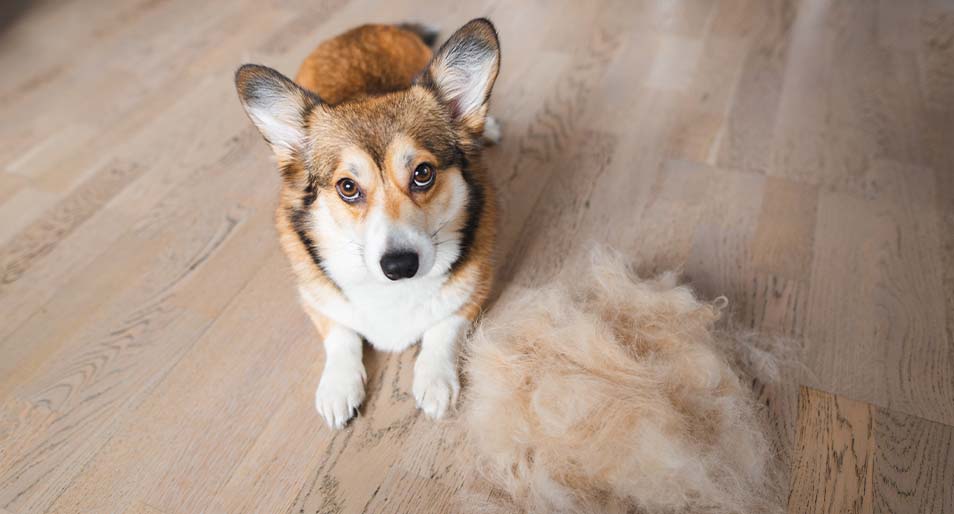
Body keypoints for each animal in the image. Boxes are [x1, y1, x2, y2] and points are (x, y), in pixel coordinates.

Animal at [233, 19, 498, 428]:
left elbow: (444, 328)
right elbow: (341, 333)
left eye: (423, 173)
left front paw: (435, 380)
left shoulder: (476, 288)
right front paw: (338, 388)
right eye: (347, 187)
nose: (400, 266)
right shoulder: (315, 297)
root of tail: (363, 28)